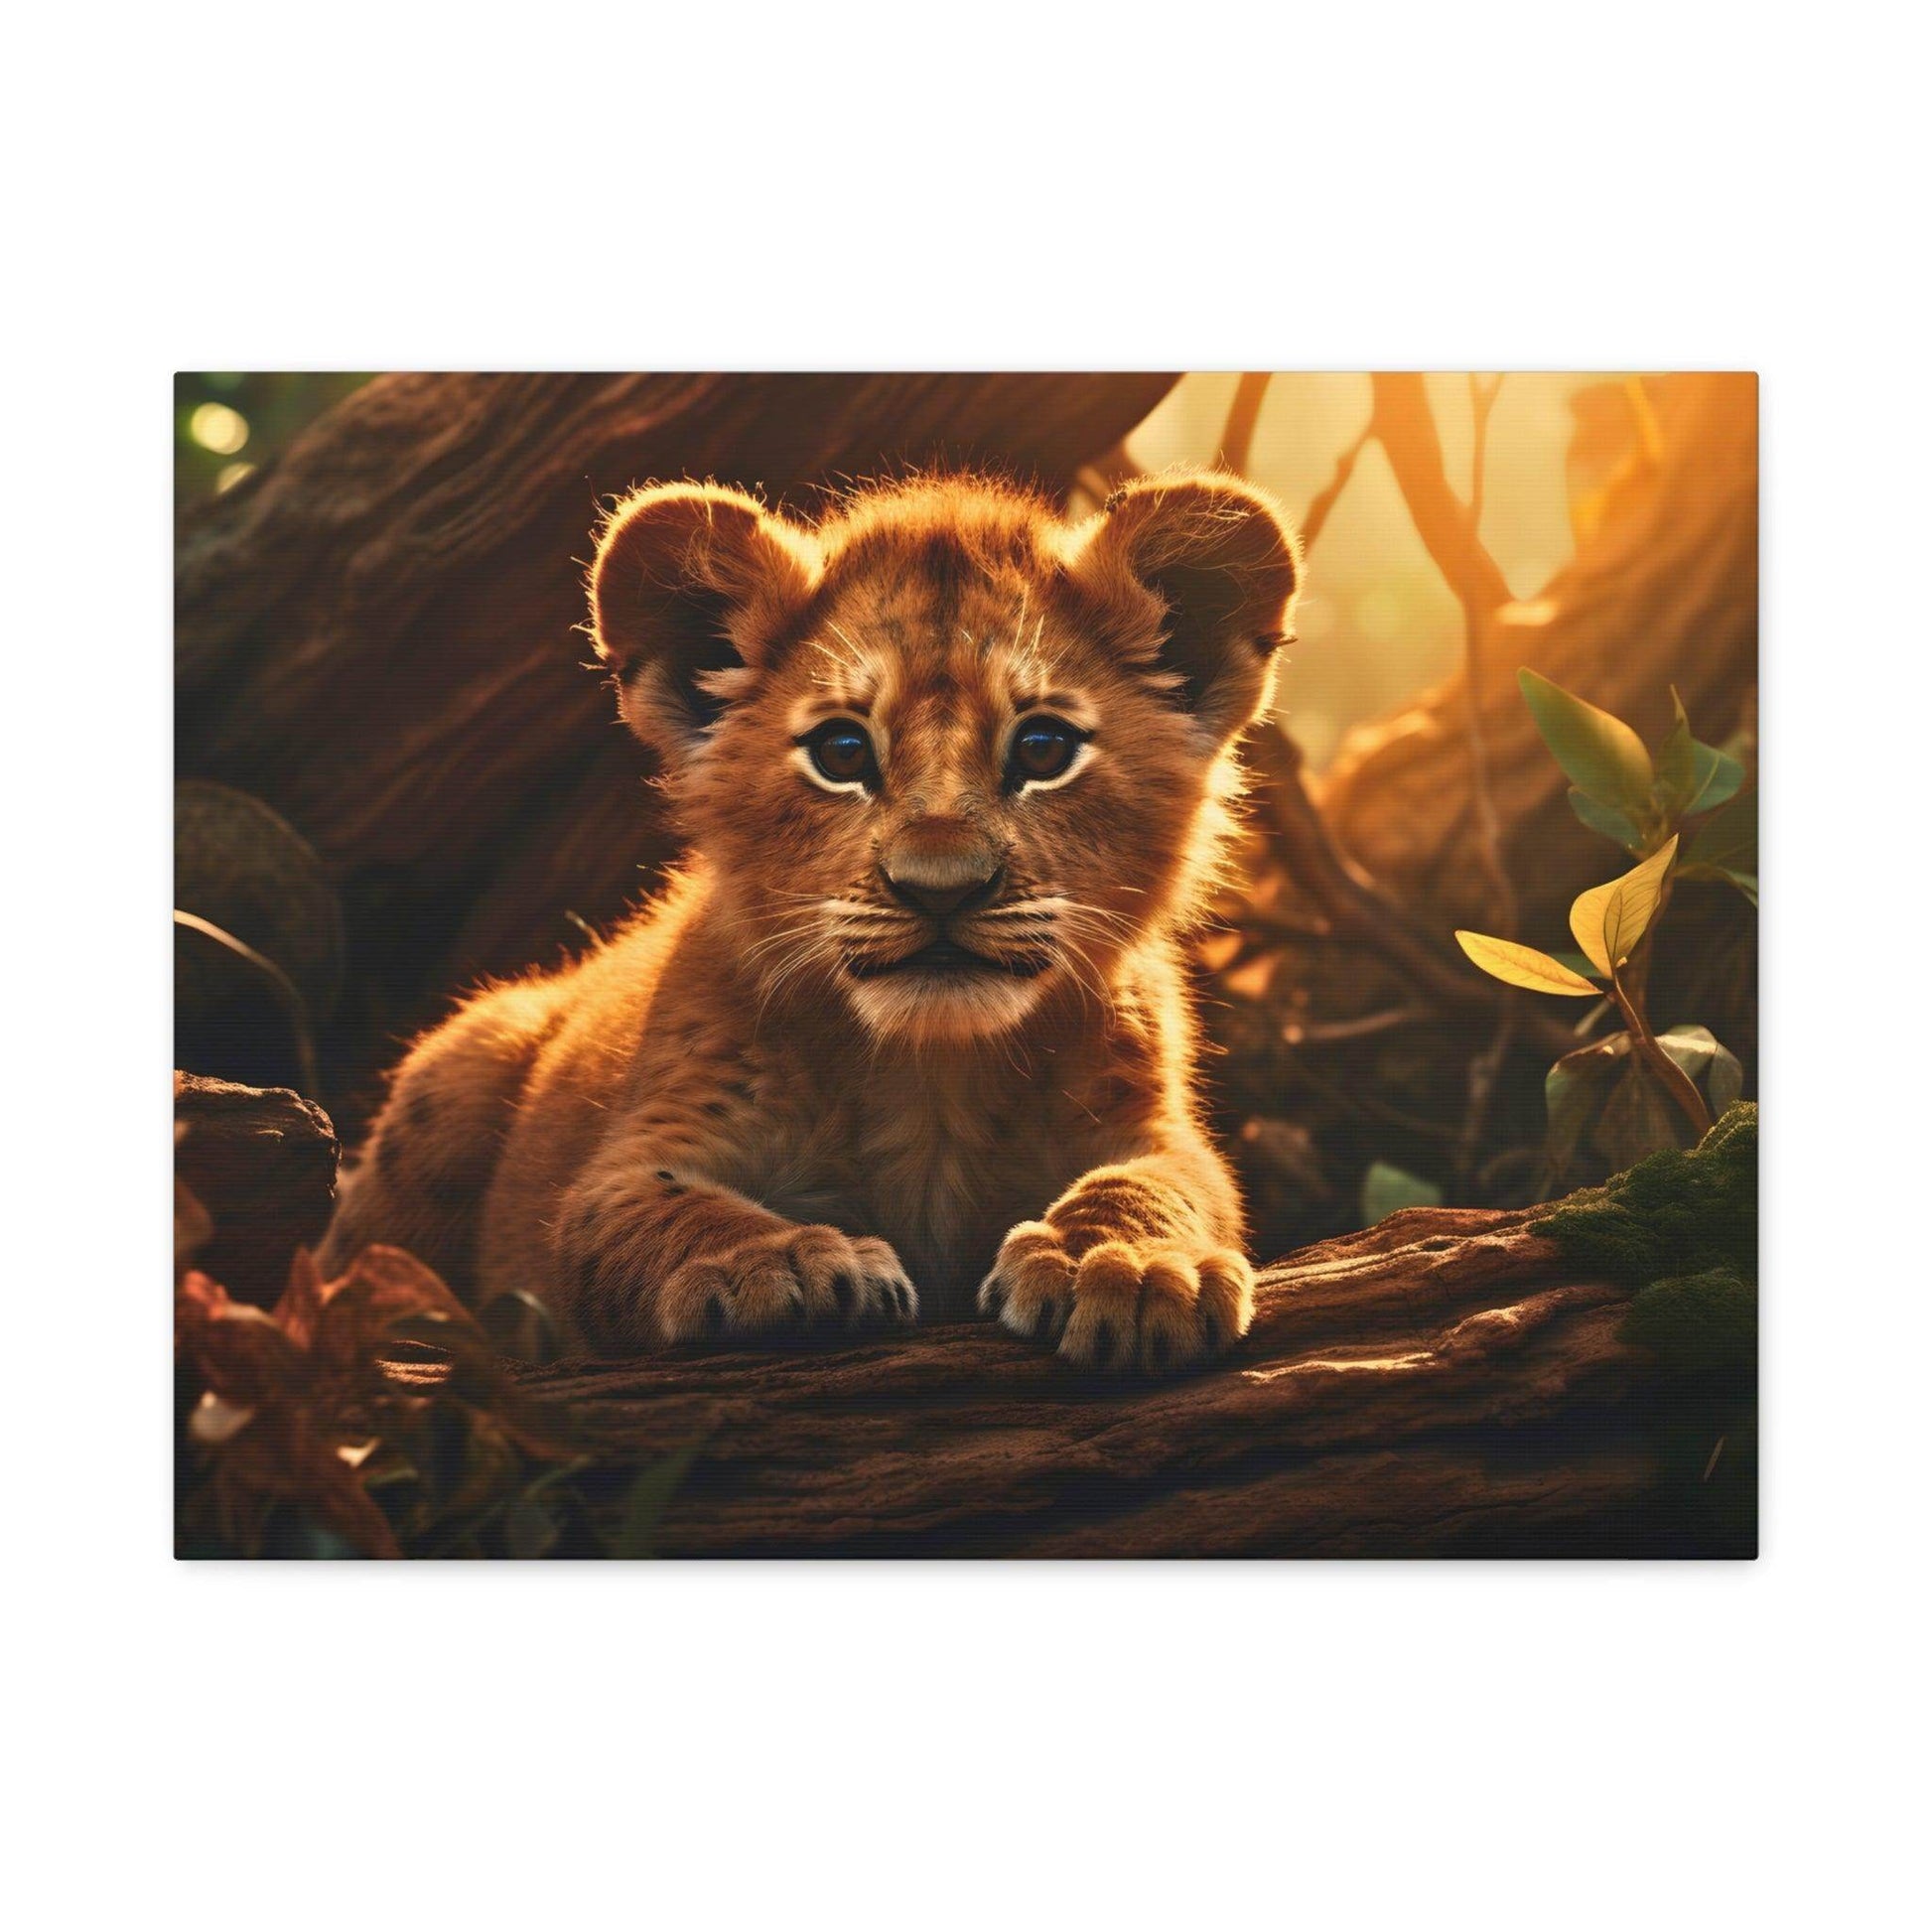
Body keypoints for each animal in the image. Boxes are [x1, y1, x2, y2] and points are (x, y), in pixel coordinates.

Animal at [318, 469, 1302, 1372]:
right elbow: (668, 1210)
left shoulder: (1154, 1127)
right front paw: (777, 1264)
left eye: (1044, 748)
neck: (932, 1077)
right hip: (458, 1068)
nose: (940, 888)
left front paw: (1126, 1264)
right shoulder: (635, 1155)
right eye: (841, 752)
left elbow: (1156, 1183)